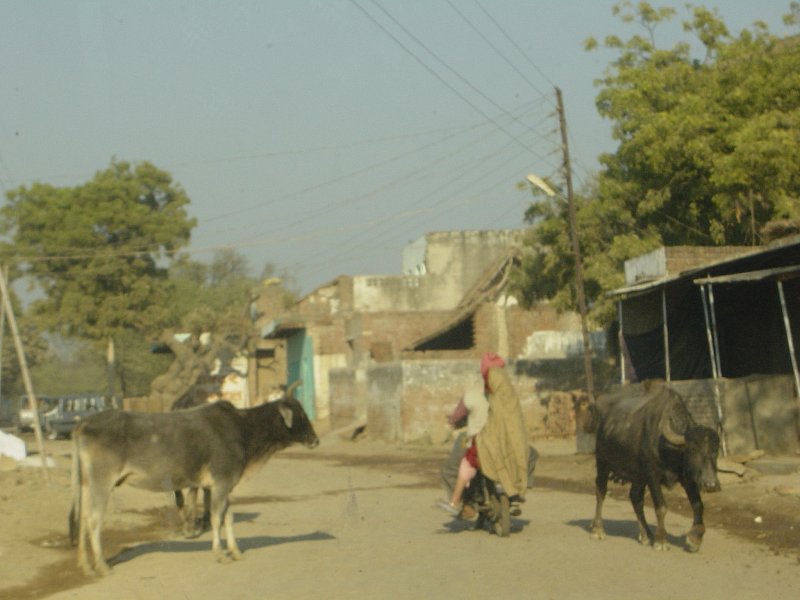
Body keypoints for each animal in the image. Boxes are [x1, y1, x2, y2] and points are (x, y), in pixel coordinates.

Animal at [69, 396, 318, 576]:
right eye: (301, 414)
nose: (316, 440)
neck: (244, 428)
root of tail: (83, 423)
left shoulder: (224, 485)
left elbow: (229, 517)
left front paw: (235, 551)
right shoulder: (221, 482)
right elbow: (216, 518)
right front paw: (220, 553)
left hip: (86, 483)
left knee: (82, 518)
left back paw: (85, 565)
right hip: (102, 481)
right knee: (93, 520)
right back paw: (101, 565)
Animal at [584, 386, 720, 552]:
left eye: (715, 451)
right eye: (693, 449)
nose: (711, 484)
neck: (669, 449)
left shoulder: (689, 479)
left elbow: (698, 505)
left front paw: (695, 539)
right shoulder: (652, 475)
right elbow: (661, 507)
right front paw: (661, 540)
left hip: (638, 476)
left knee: (635, 497)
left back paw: (646, 534)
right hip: (602, 462)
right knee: (601, 491)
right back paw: (598, 529)